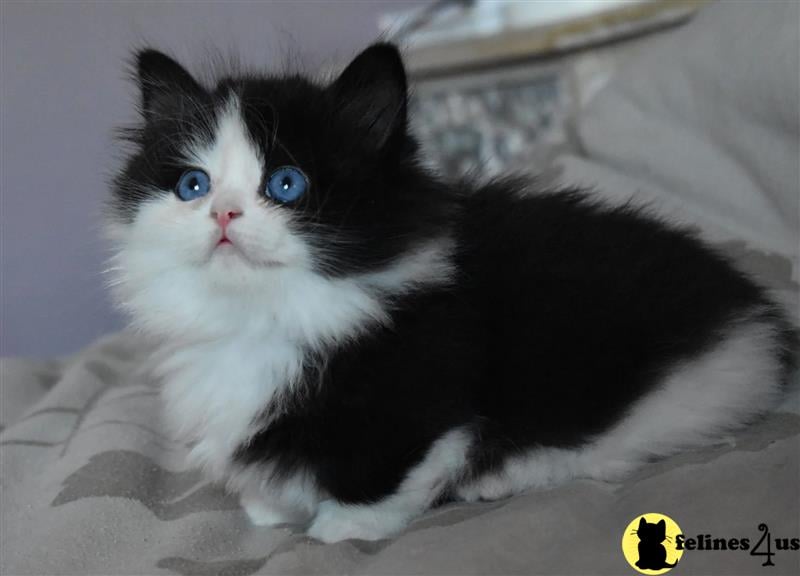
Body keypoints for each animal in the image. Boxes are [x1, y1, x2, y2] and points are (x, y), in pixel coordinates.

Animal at [104, 42, 792, 544]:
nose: (222, 214)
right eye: (193, 186)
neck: (263, 316)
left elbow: (404, 460)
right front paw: (271, 509)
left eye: (287, 184)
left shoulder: (431, 387)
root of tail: (765, 320)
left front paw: (343, 526)